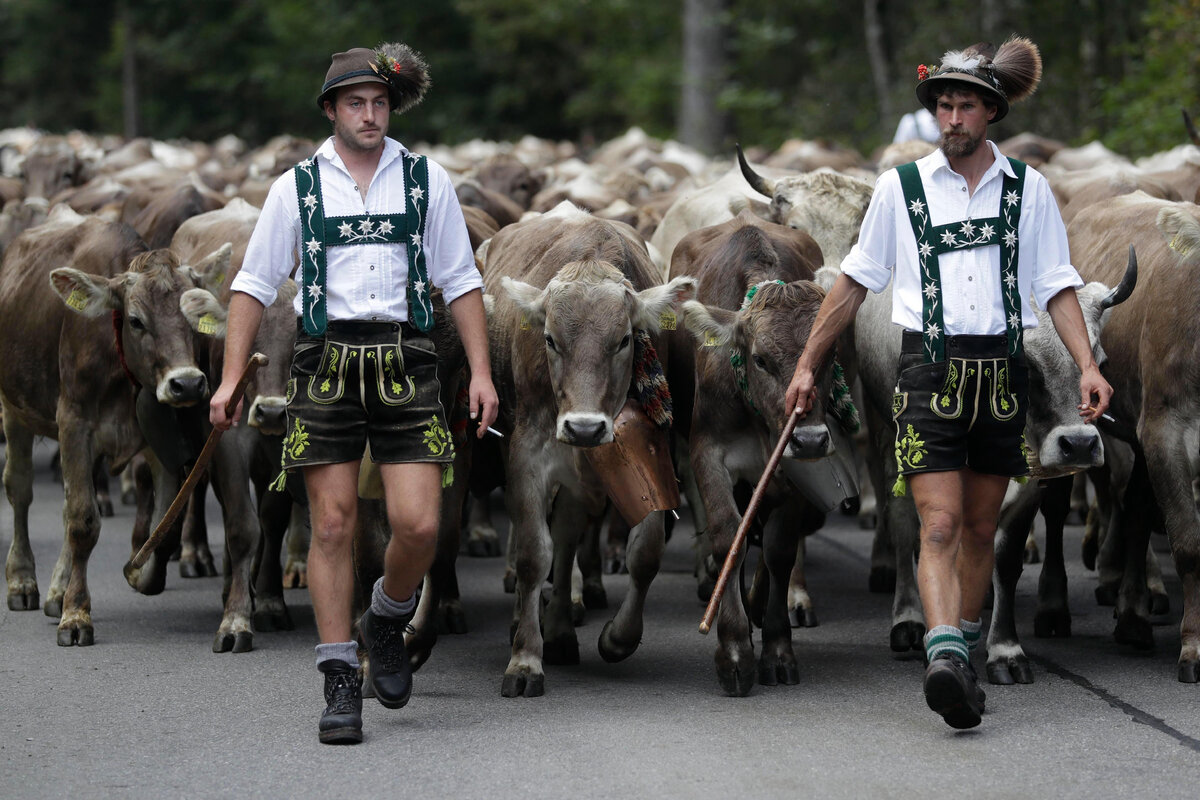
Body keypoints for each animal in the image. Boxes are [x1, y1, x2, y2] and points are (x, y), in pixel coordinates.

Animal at [482, 203, 696, 695]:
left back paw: (561, 630)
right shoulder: (528, 454)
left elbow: (645, 551)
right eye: (549, 339)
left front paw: (619, 637)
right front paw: (525, 659)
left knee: (567, 537)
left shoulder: (650, 449)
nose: (583, 427)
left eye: (624, 339)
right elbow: (533, 554)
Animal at [672, 211, 849, 695]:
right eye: (760, 359)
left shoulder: (792, 468)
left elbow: (779, 549)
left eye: (827, 357)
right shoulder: (707, 452)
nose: (810, 440)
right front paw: (734, 650)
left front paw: (776, 649)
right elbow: (727, 534)